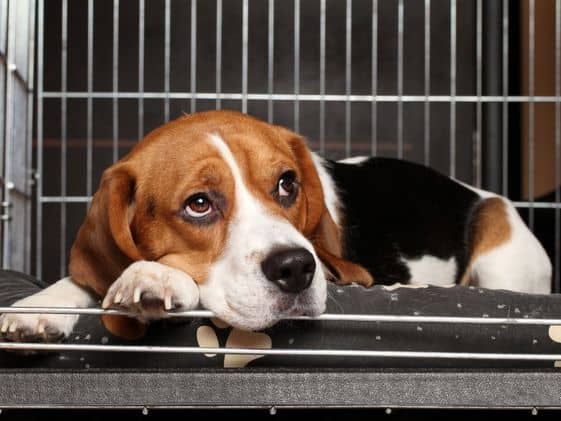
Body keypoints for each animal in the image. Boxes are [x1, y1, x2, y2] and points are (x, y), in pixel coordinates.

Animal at [0, 109, 552, 342]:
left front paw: (155, 277)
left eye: (287, 184)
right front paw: (38, 306)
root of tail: (480, 194)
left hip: (501, 244)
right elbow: (80, 278)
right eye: (198, 204)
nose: (296, 269)